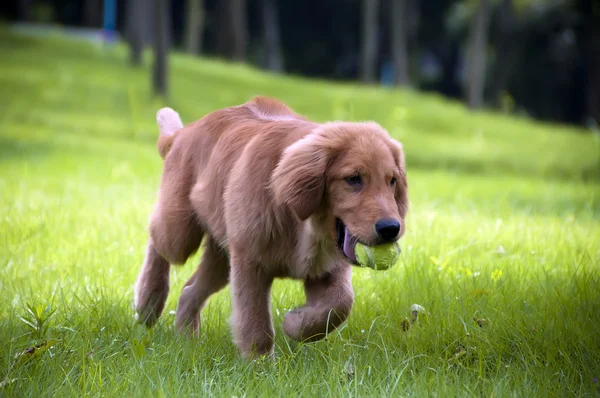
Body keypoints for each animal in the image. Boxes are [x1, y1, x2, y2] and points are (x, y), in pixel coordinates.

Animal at [134, 95, 408, 358]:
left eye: (392, 181)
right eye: (353, 179)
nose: (391, 228)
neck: (304, 224)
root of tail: (184, 132)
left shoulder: (326, 267)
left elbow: (339, 305)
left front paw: (296, 324)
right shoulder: (250, 262)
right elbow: (255, 320)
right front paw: (259, 364)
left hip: (222, 253)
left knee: (190, 290)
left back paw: (186, 340)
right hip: (180, 231)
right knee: (156, 239)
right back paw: (148, 301)